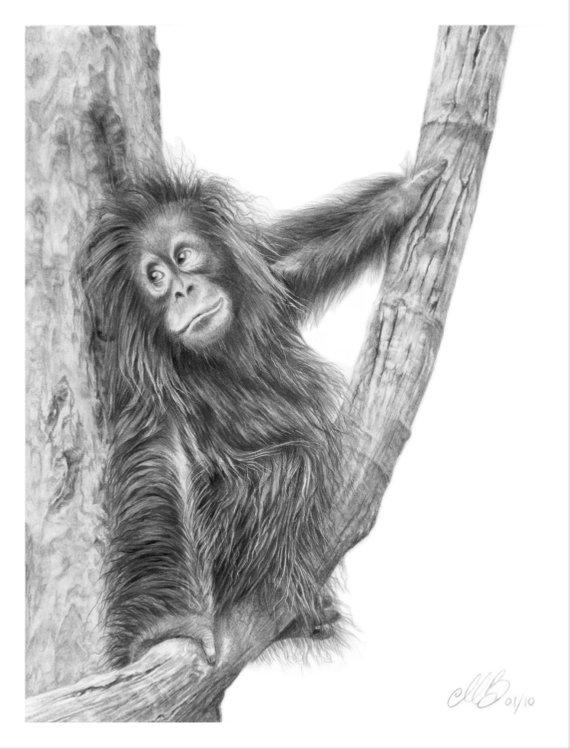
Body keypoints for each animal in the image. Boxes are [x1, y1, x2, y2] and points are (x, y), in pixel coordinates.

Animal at [77, 159, 445, 667]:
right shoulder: (144, 388)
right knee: (292, 464)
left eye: (183, 256)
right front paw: (171, 629)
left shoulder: (265, 284)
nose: (182, 290)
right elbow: (165, 467)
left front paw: (403, 194)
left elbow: (291, 266)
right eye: (154, 277)